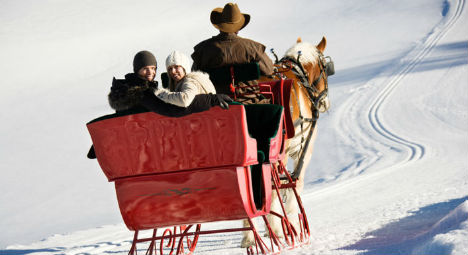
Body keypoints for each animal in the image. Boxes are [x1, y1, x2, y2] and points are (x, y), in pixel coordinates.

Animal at [241, 36, 332, 247]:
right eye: (325, 67)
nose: (325, 103)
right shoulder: (303, 149)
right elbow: (295, 183)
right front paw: (292, 218)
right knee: (272, 188)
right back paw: (275, 229)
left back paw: (249, 235)